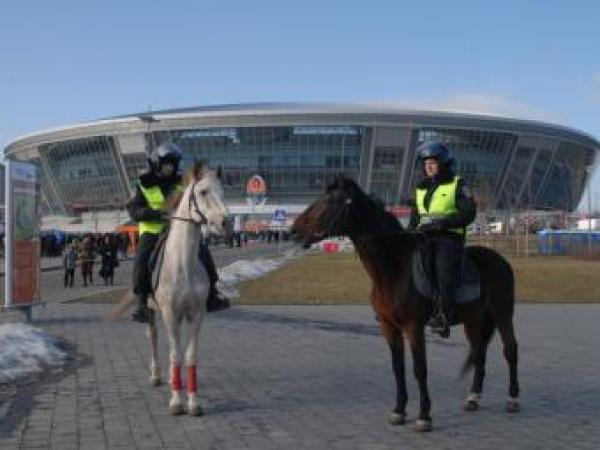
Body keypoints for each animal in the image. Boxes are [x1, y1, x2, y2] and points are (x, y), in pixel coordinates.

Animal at [146, 161, 230, 414]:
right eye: (203, 192)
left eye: (223, 191)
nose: (226, 222)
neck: (182, 264)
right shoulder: (170, 314)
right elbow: (175, 355)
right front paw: (176, 402)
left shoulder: (196, 314)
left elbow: (190, 356)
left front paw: (192, 403)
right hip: (151, 310)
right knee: (153, 336)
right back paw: (156, 375)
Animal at [292, 174, 516, 430]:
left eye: (330, 202)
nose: (294, 229)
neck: (394, 268)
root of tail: (501, 261)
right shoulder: (389, 327)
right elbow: (398, 368)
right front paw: (399, 410)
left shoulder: (413, 326)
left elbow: (420, 369)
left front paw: (424, 416)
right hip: (473, 320)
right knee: (479, 352)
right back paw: (473, 398)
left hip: (502, 313)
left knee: (510, 349)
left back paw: (513, 399)